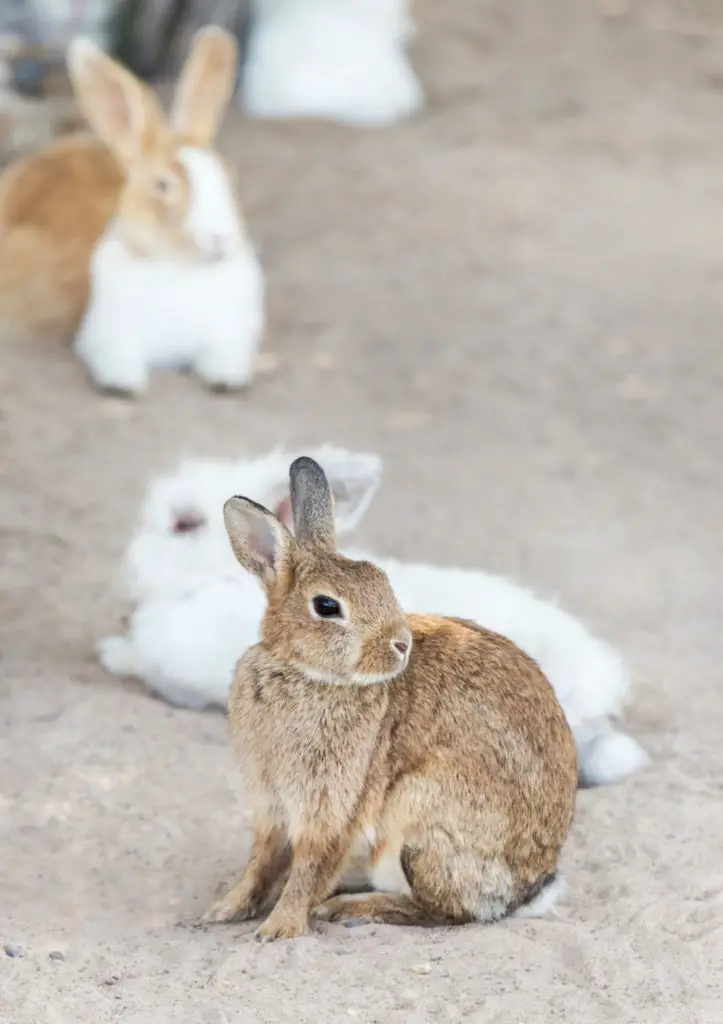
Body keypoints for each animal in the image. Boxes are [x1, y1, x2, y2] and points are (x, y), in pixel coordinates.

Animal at [0, 28, 262, 395]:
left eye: (228, 174)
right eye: (163, 185)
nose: (219, 239)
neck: (179, 269)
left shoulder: (232, 336)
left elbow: (224, 358)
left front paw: (226, 380)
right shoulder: (105, 338)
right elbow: (117, 360)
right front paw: (124, 386)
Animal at [202, 460, 573, 937]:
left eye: (382, 582)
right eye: (326, 606)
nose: (402, 644)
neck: (307, 672)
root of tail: (531, 888)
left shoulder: (334, 804)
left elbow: (310, 868)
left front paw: (279, 928)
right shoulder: (271, 804)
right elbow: (261, 863)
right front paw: (225, 909)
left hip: (420, 817)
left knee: (443, 911)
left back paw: (349, 907)